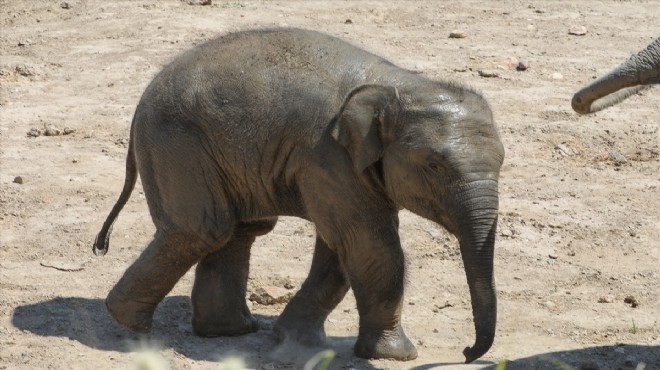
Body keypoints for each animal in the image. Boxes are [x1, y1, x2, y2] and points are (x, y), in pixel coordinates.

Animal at [93, 27, 506, 362]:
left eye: (503, 161)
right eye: (434, 165)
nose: (466, 352)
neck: (396, 85)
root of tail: (143, 97)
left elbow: (340, 248)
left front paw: (296, 341)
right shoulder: (326, 156)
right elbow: (368, 242)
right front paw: (397, 355)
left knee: (240, 230)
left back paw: (228, 332)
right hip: (176, 142)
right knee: (202, 229)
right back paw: (129, 324)